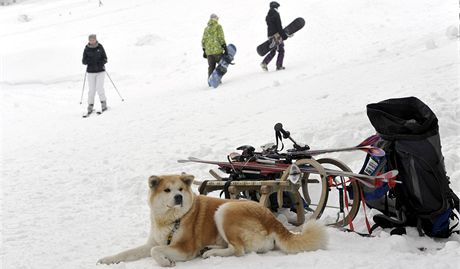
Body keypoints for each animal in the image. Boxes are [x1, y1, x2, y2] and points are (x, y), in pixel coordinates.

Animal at [96, 173, 328, 264]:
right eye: (167, 190)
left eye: (180, 189)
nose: (179, 197)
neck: (172, 219)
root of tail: (273, 220)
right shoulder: (151, 242)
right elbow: (127, 253)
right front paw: (106, 259)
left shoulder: (184, 249)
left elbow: (156, 252)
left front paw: (164, 261)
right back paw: (209, 249)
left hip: (225, 211)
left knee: (238, 250)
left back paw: (210, 253)